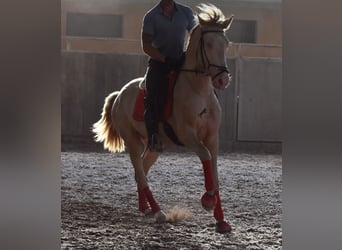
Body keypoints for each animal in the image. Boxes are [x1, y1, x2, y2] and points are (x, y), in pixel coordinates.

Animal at [92, 3, 234, 234]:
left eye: (226, 44)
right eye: (209, 43)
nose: (222, 80)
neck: (198, 91)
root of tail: (119, 94)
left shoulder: (213, 138)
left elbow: (215, 174)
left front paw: (221, 220)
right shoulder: (188, 136)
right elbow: (204, 157)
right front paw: (207, 200)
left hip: (154, 146)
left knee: (141, 170)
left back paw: (145, 208)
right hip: (132, 141)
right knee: (140, 173)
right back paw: (158, 212)